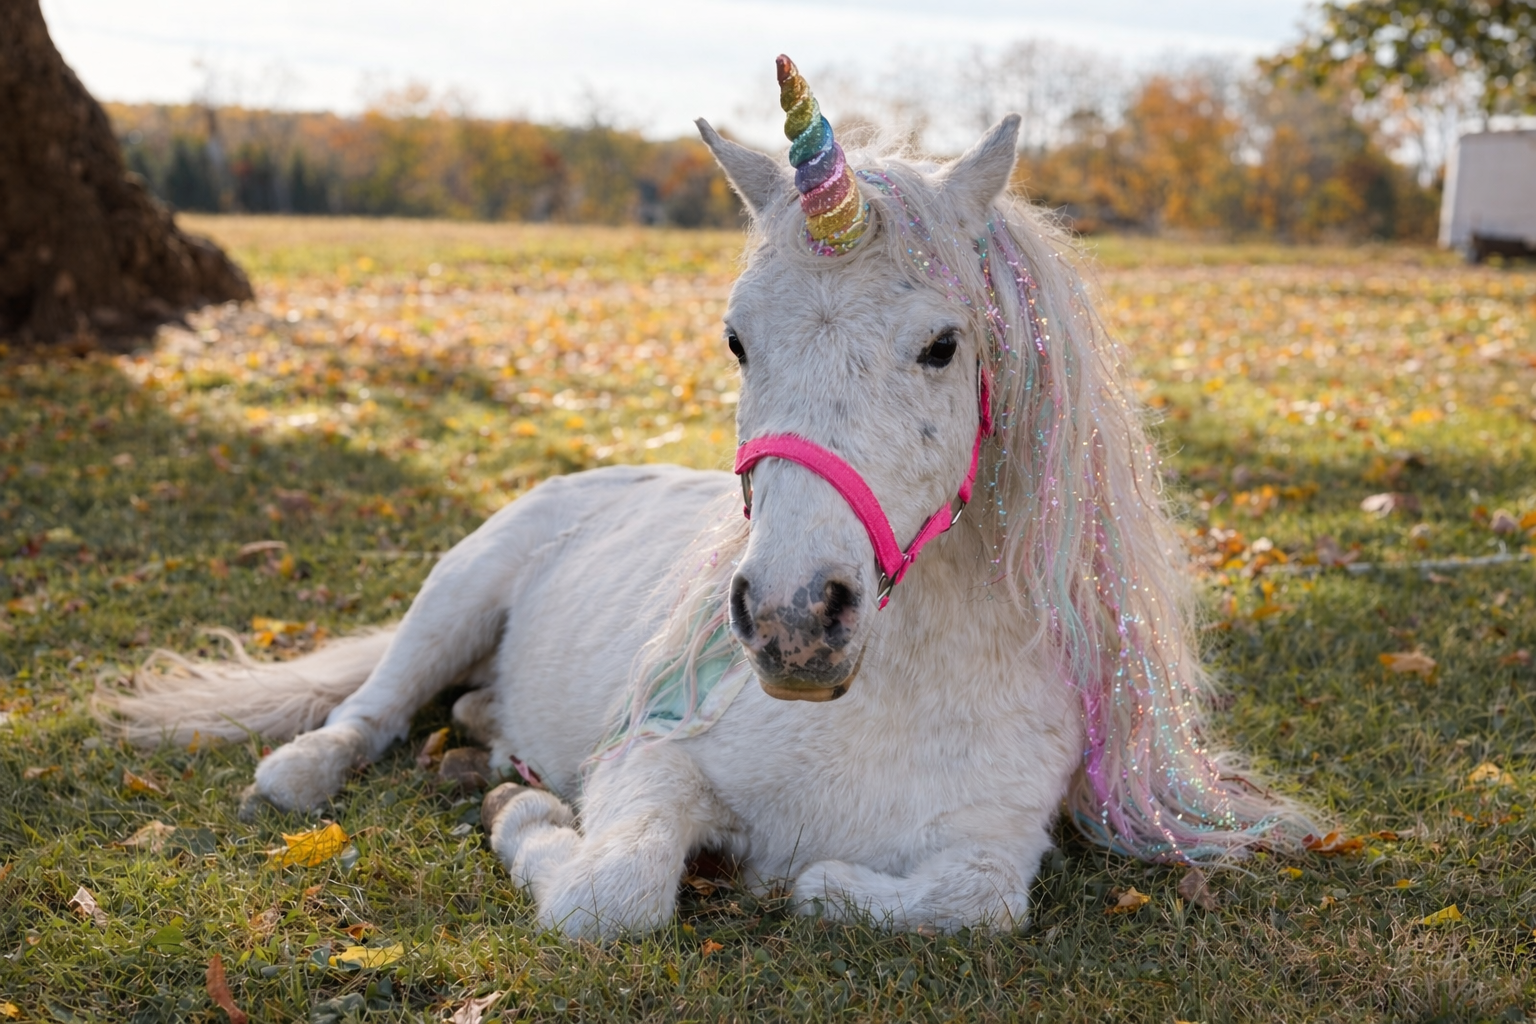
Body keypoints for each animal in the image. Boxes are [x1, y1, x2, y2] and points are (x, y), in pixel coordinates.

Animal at [106, 55, 1310, 938]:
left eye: (942, 345)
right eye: (736, 339)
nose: (792, 619)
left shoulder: (992, 848)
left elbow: (947, 901)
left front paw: (802, 881)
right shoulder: (655, 764)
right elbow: (612, 895)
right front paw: (526, 814)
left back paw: (491, 732)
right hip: (455, 595)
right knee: (374, 708)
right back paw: (309, 772)